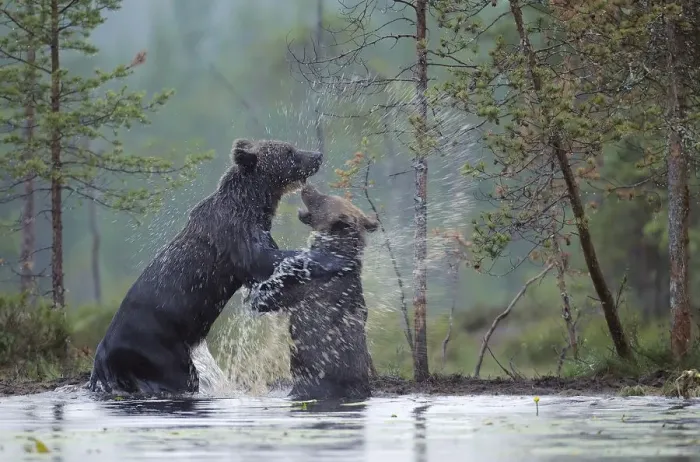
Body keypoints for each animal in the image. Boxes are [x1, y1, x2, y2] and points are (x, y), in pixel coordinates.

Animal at [88, 139, 356, 395]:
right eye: (289, 152)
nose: (317, 156)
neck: (253, 206)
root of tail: (102, 353)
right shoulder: (238, 238)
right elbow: (269, 261)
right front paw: (335, 260)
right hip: (157, 348)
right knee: (180, 377)